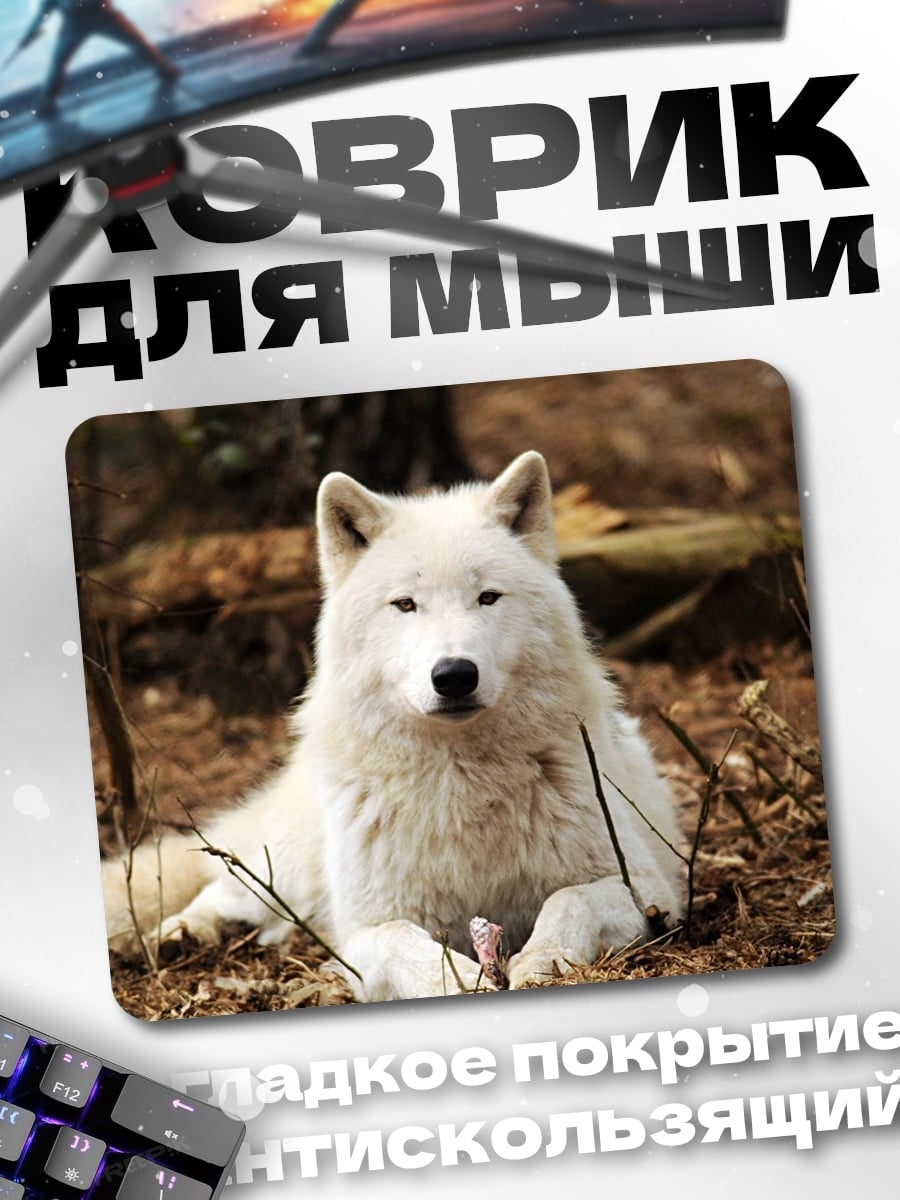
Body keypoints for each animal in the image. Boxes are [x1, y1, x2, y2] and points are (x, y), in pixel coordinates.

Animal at [104, 451, 684, 1001]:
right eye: (406, 604)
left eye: (487, 597)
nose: (454, 675)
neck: (463, 783)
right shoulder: (364, 928)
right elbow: (401, 938)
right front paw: (459, 980)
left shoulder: (650, 891)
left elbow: (568, 900)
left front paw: (543, 962)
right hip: (287, 865)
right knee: (223, 888)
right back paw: (182, 934)